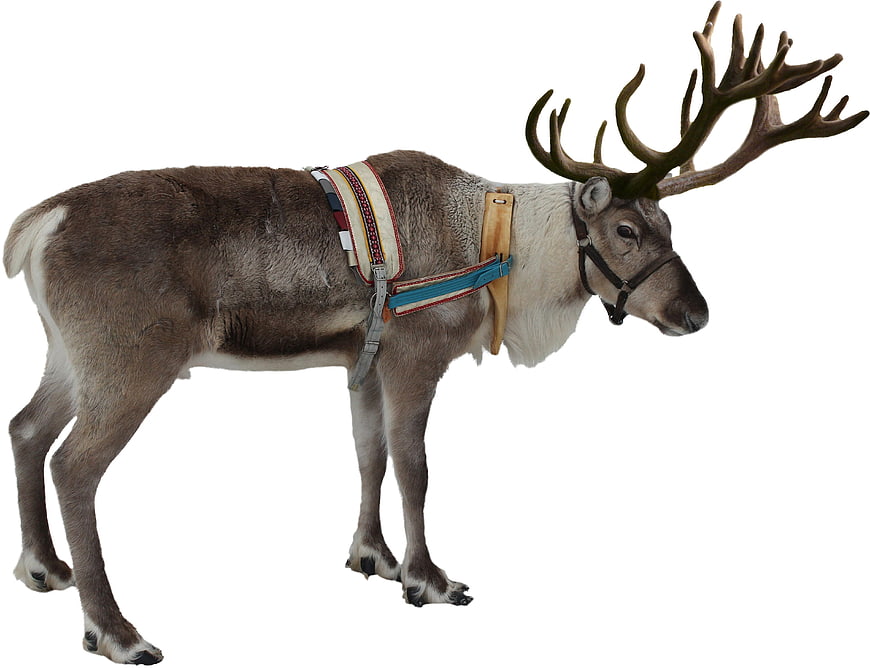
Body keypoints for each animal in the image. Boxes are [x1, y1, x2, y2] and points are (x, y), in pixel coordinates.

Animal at [3, 3, 865, 664]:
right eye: (626, 229)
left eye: (671, 226)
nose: (697, 313)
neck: (504, 250)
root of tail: (37, 225)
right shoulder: (417, 355)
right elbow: (418, 467)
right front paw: (430, 578)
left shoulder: (361, 361)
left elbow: (371, 456)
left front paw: (374, 558)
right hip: (130, 361)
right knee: (75, 466)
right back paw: (116, 629)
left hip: (67, 354)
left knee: (25, 427)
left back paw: (44, 569)